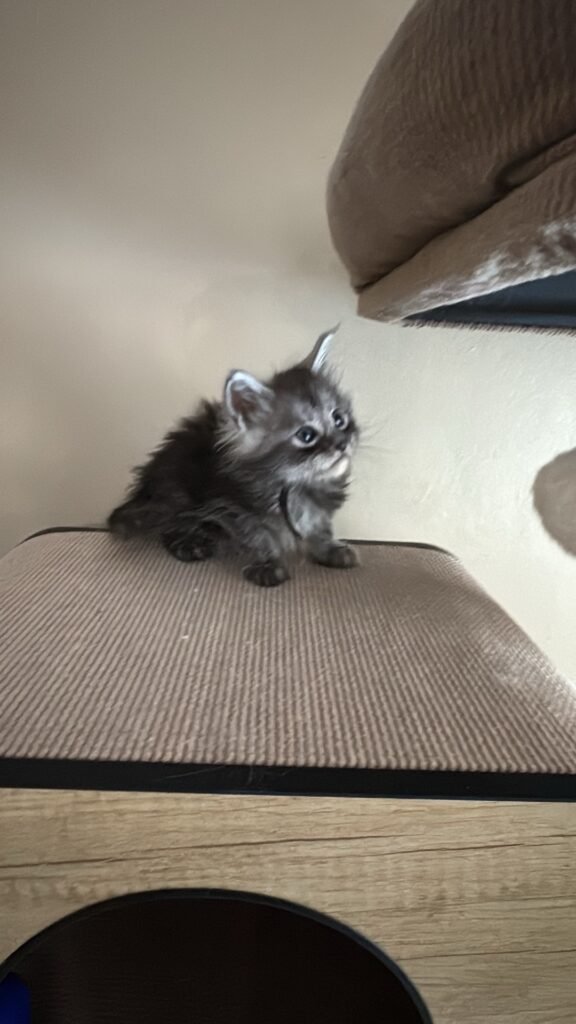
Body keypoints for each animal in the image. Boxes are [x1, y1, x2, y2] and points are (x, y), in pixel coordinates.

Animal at [108, 329, 359, 586]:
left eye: (339, 419)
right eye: (306, 435)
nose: (342, 443)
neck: (299, 484)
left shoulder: (319, 510)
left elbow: (319, 527)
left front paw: (328, 549)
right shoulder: (234, 507)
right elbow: (260, 536)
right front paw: (268, 564)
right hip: (177, 491)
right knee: (167, 525)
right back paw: (189, 544)